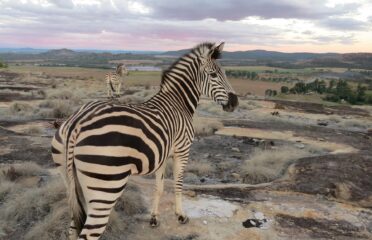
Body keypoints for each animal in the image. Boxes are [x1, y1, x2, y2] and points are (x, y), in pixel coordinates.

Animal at [51, 42, 238, 239]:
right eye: (213, 75)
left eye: (226, 73)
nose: (235, 103)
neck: (178, 103)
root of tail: (77, 123)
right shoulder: (182, 150)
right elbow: (178, 185)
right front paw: (180, 215)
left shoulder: (162, 154)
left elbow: (159, 187)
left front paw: (154, 218)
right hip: (106, 188)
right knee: (89, 232)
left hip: (72, 184)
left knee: (73, 228)